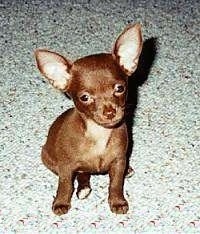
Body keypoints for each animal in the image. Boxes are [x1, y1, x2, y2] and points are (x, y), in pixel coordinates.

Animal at [34, 23, 142, 216]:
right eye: (85, 98)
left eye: (120, 88)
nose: (110, 112)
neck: (99, 133)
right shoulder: (66, 167)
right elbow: (65, 185)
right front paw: (61, 203)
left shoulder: (118, 161)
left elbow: (115, 184)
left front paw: (117, 201)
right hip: (50, 160)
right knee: (82, 174)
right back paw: (83, 188)